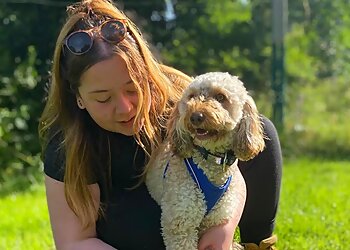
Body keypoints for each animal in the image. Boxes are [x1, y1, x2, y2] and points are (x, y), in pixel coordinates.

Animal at [146, 71, 266, 249]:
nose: (195, 117)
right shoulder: (181, 224)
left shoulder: (213, 223)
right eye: (191, 96)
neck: (210, 160)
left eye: (221, 97)